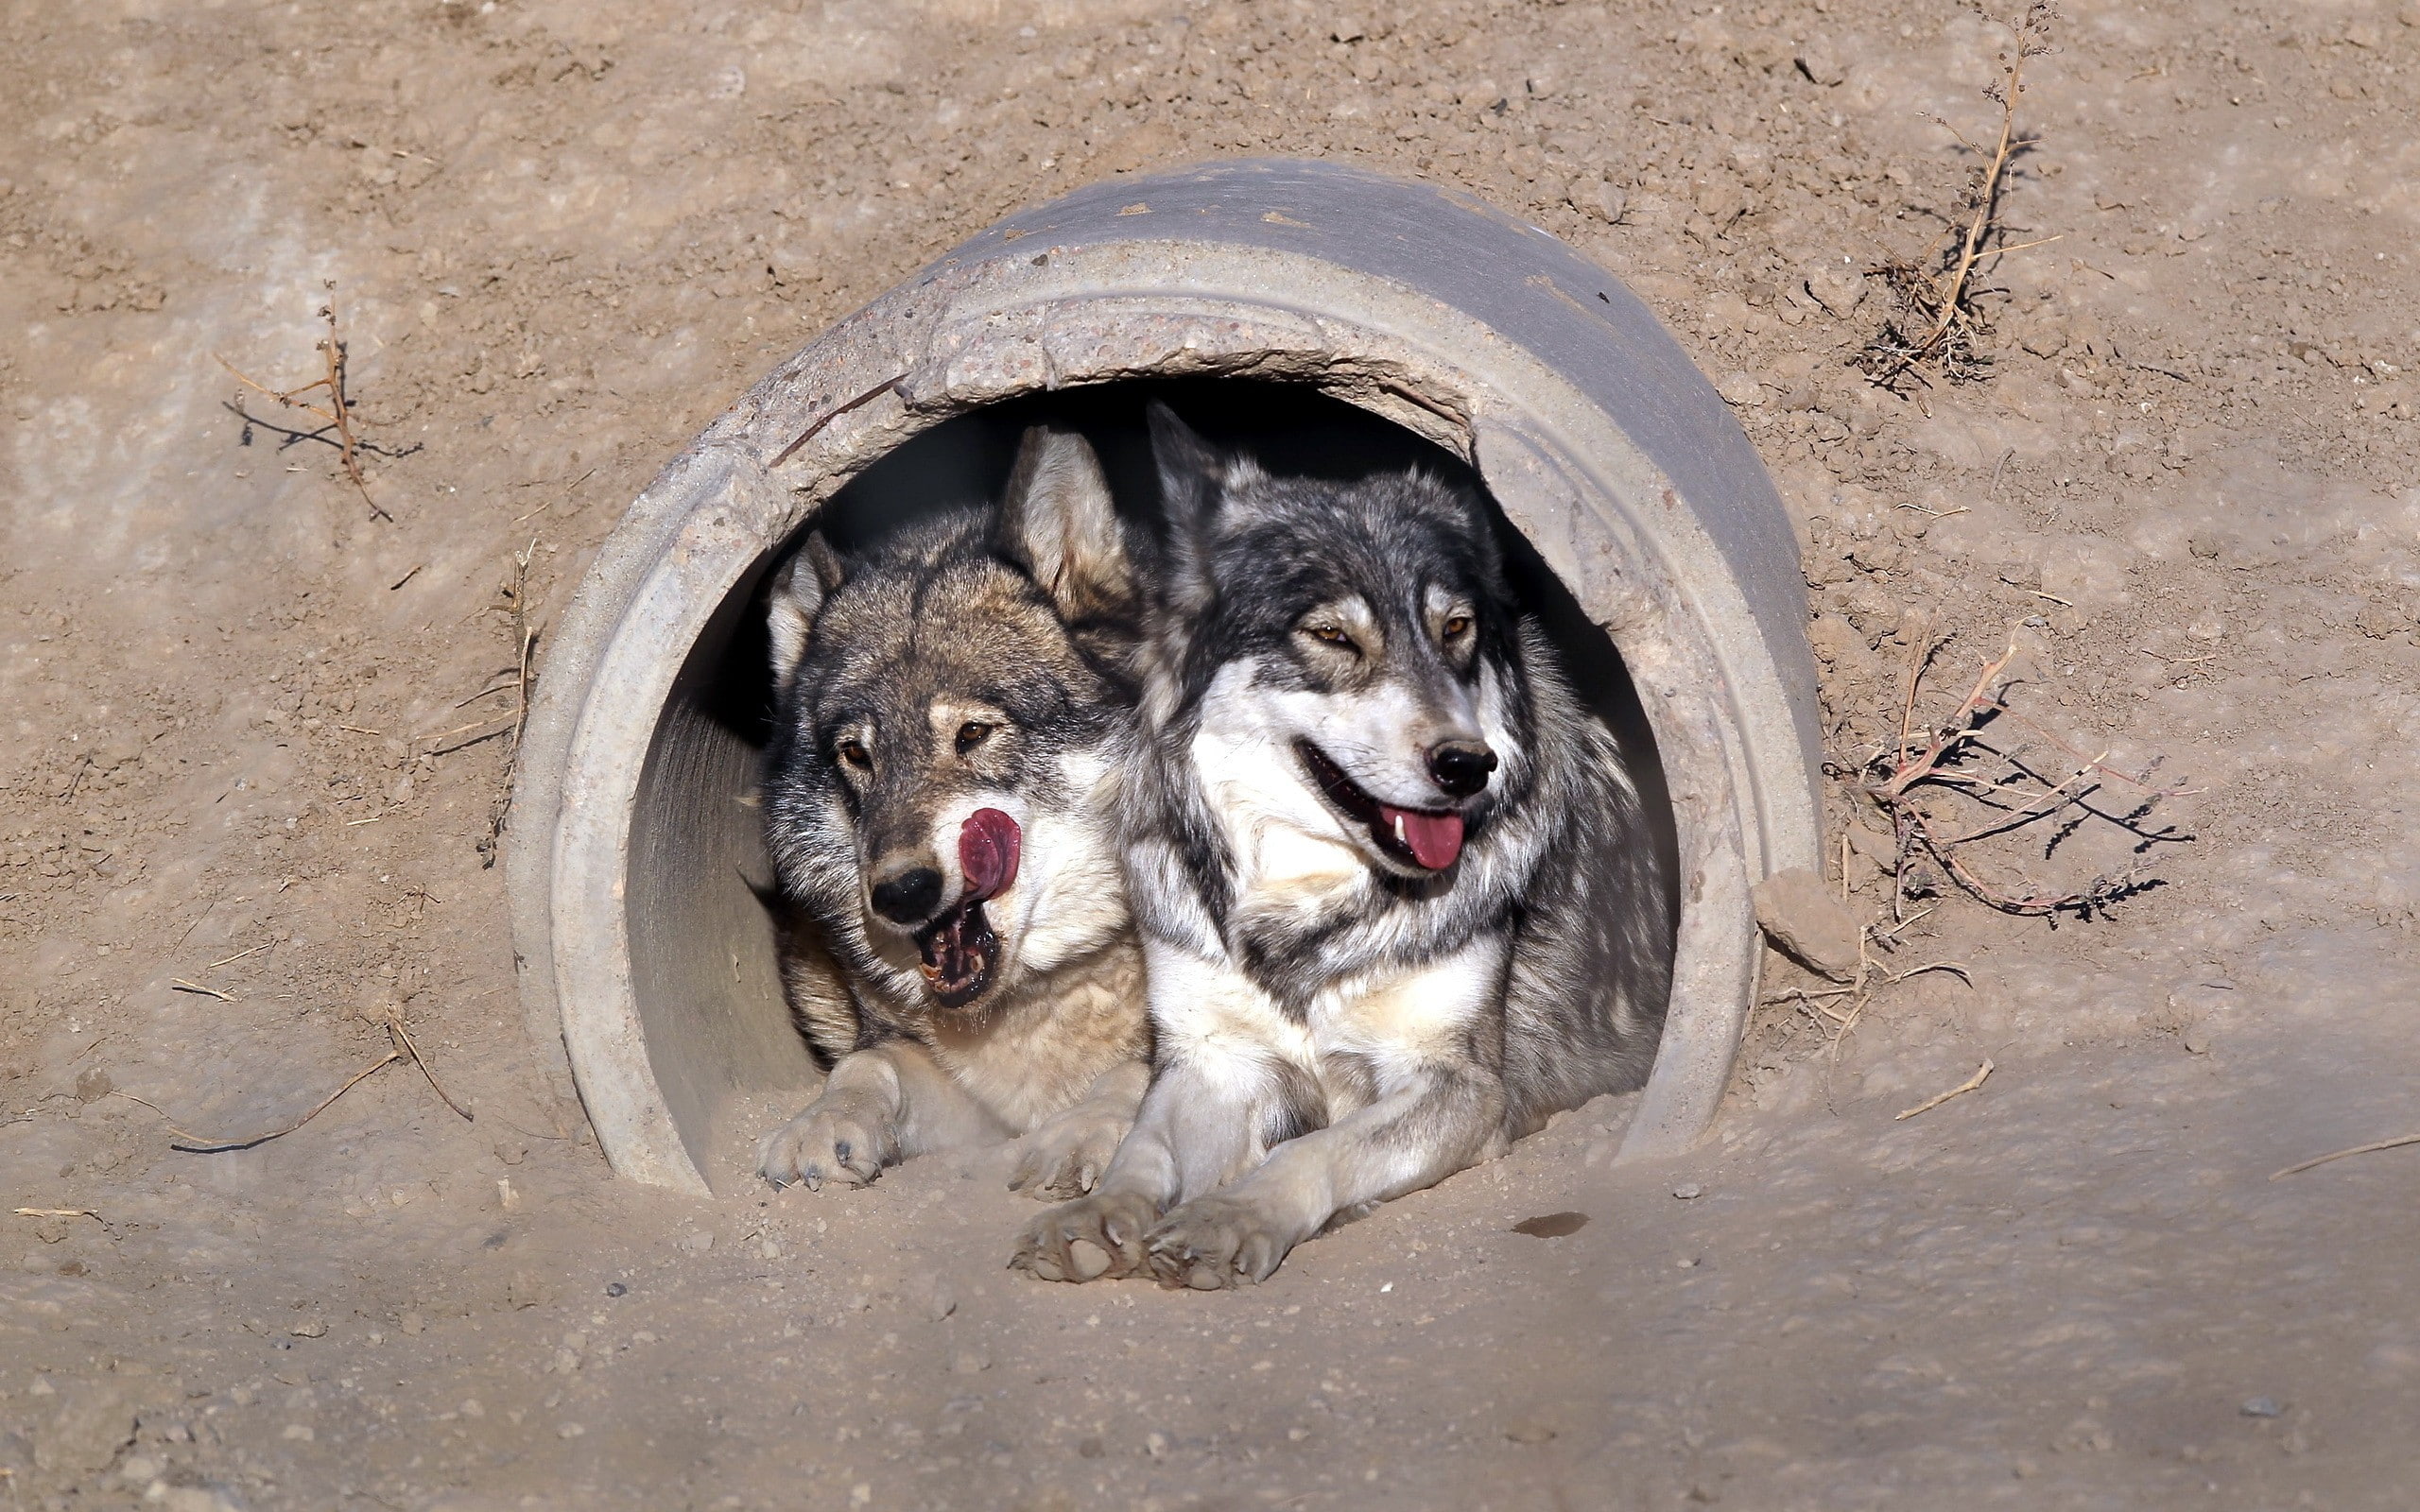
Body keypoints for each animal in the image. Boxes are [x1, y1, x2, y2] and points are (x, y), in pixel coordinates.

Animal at [754, 426, 1152, 1200]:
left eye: (972, 733)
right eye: (857, 755)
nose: (902, 894)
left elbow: (1138, 1074)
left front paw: (1078, 1133)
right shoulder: (956, 1100)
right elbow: (868, 1065)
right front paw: (824, 1122)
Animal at [1012, 403, 1672, 1287]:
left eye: (1455, 629)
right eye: (1332, 635)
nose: (1467, 766)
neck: (1305, 905)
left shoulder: (1459, 1086)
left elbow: (1316, 1149)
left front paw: (1231, 1215)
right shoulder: (1212, 1061)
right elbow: (1145, 1151)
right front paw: (1101, 1212)